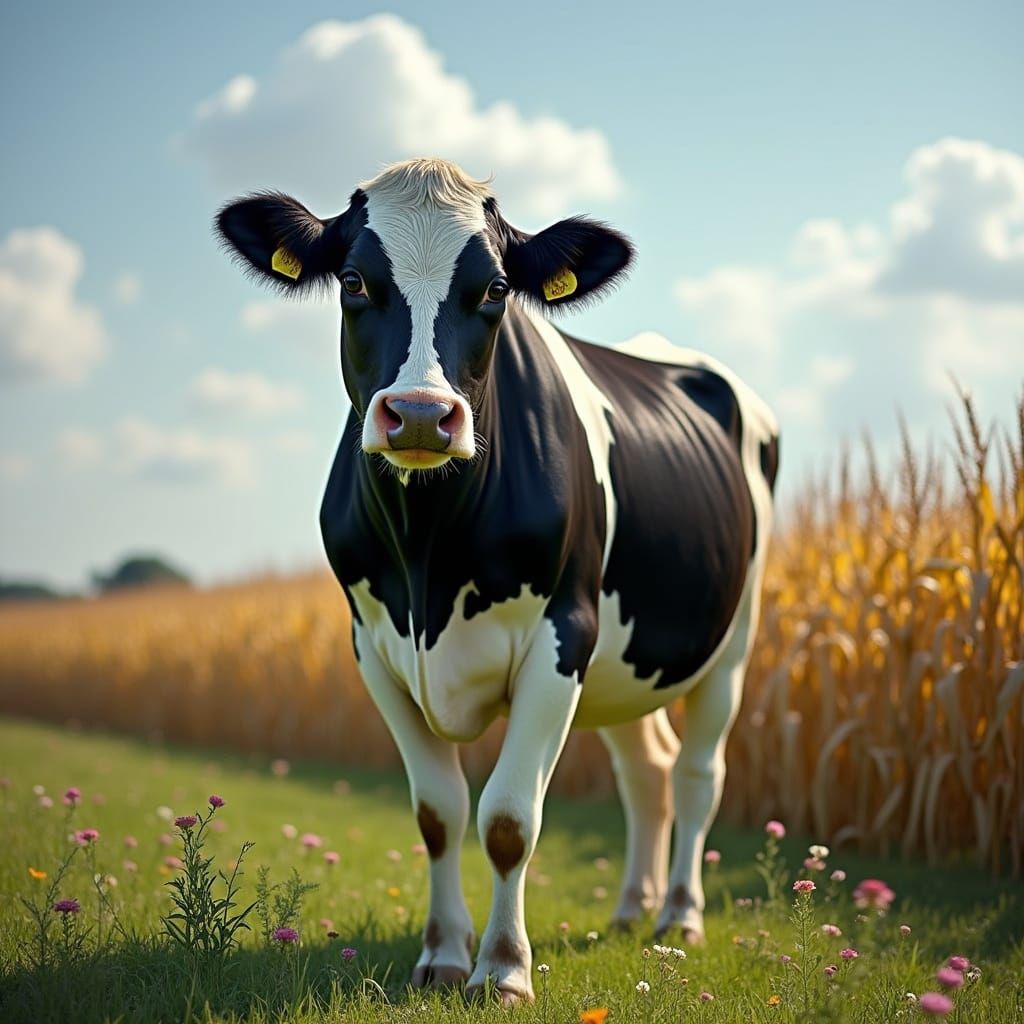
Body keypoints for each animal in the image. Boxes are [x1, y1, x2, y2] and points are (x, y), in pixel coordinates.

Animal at [216, 158, 779, 1004]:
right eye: (353, 280)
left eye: (495, 289)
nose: (421, 414)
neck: (428, 559)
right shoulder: (372, 647)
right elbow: (438, 814)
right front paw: (443, 956)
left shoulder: (562, 636)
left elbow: (511, 818)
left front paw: (504, 969)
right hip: (624, 656)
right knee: (646, 770)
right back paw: (630, 908)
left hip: (731, 639)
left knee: (697, 771)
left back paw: (679, 915)